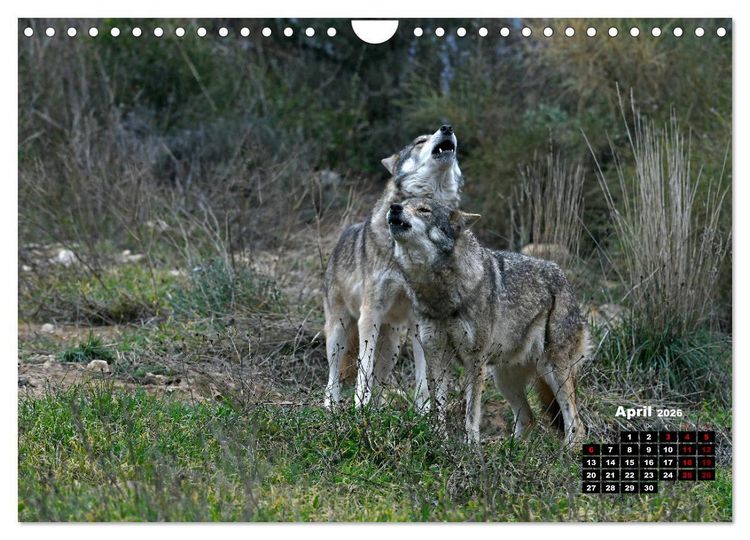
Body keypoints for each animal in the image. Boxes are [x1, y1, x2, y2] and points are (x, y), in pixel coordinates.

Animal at [324, 125, 463, 410]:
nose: (447, 128)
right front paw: (359, 407)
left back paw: (377, 411)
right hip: (339, 332)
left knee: (380, 379)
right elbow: (363, 369)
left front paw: (423, 411)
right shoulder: (370, 314)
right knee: (333, 375)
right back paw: (332, 407)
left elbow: (423, 376)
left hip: (393, 346)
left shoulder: (421, 319)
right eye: (420, 141)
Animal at [386, 197, 589, 445]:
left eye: (424, 210)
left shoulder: (475, 360)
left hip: (552, 369)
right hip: (504, 379)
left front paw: (471, 447)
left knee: (576, 424)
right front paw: (439, 441)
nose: (394, 207)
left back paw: (565, 451)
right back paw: (510, 450)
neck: (440, 295)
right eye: (403, 203)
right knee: (528, 419)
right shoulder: (436, 356)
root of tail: (564, 279)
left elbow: (471, 413)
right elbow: (439, 407)